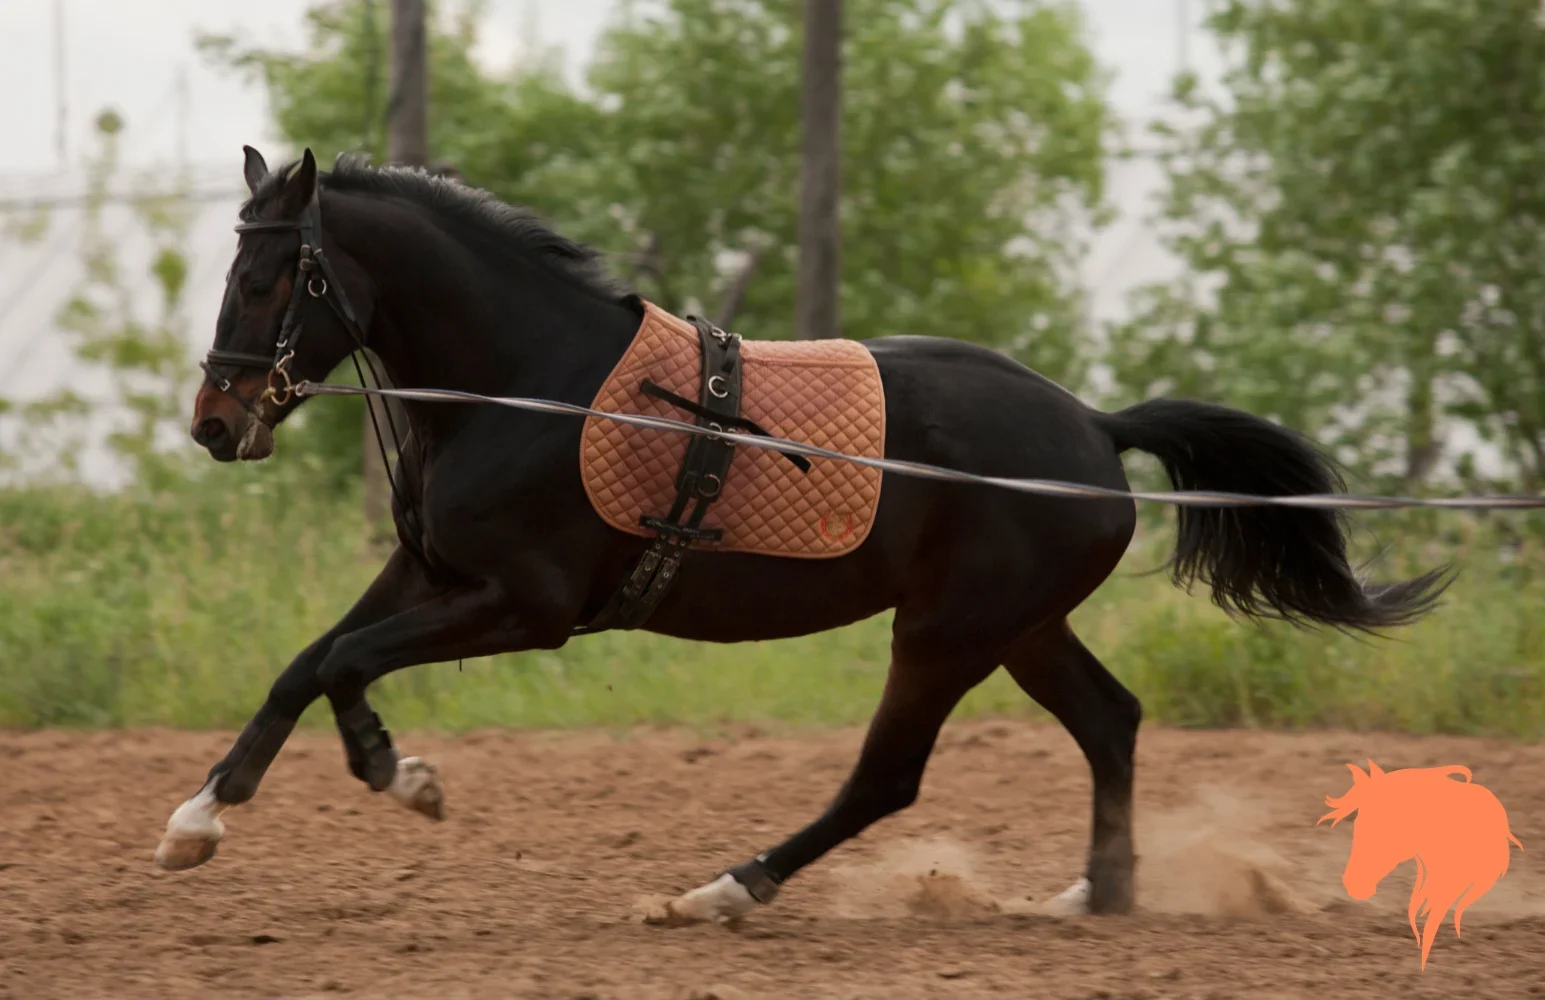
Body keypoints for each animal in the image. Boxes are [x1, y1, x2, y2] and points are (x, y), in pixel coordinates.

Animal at [157, 145, 1450, 925]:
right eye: (232, 269)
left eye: (271, 279)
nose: (215, 422)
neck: (526, 384)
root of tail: (1094, 423)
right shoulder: (429, 568)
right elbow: (306, 663)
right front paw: (204, 818)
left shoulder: (529, 603)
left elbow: (344, 660)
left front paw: (399, 775)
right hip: (1020, 627)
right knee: (1109, 720)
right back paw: (1097, 893)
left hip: (947, 631)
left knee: (889, 775)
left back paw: (725, 889)